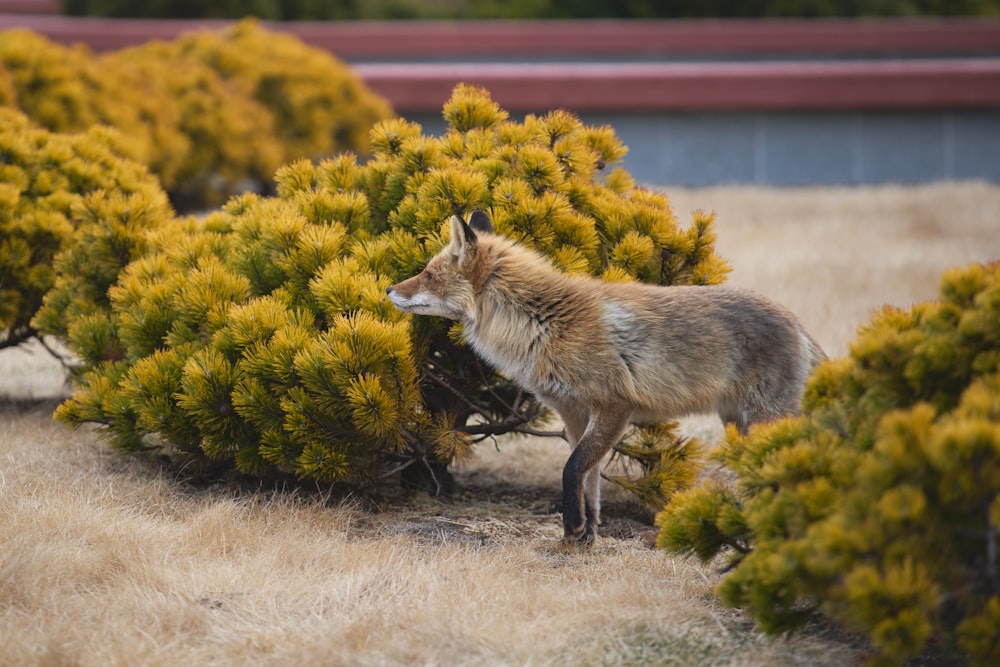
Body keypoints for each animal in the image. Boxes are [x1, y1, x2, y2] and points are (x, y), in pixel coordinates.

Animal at [386, 211, 824, 544]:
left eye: (428, 275)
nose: (389, 288)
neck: (544, 324)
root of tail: (798, 321)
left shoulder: (614, 407)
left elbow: (571, 470)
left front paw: (572, 528)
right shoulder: (573, 413)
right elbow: (589, 480)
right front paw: (586, 535)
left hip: (763, 421)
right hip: (738, 423)